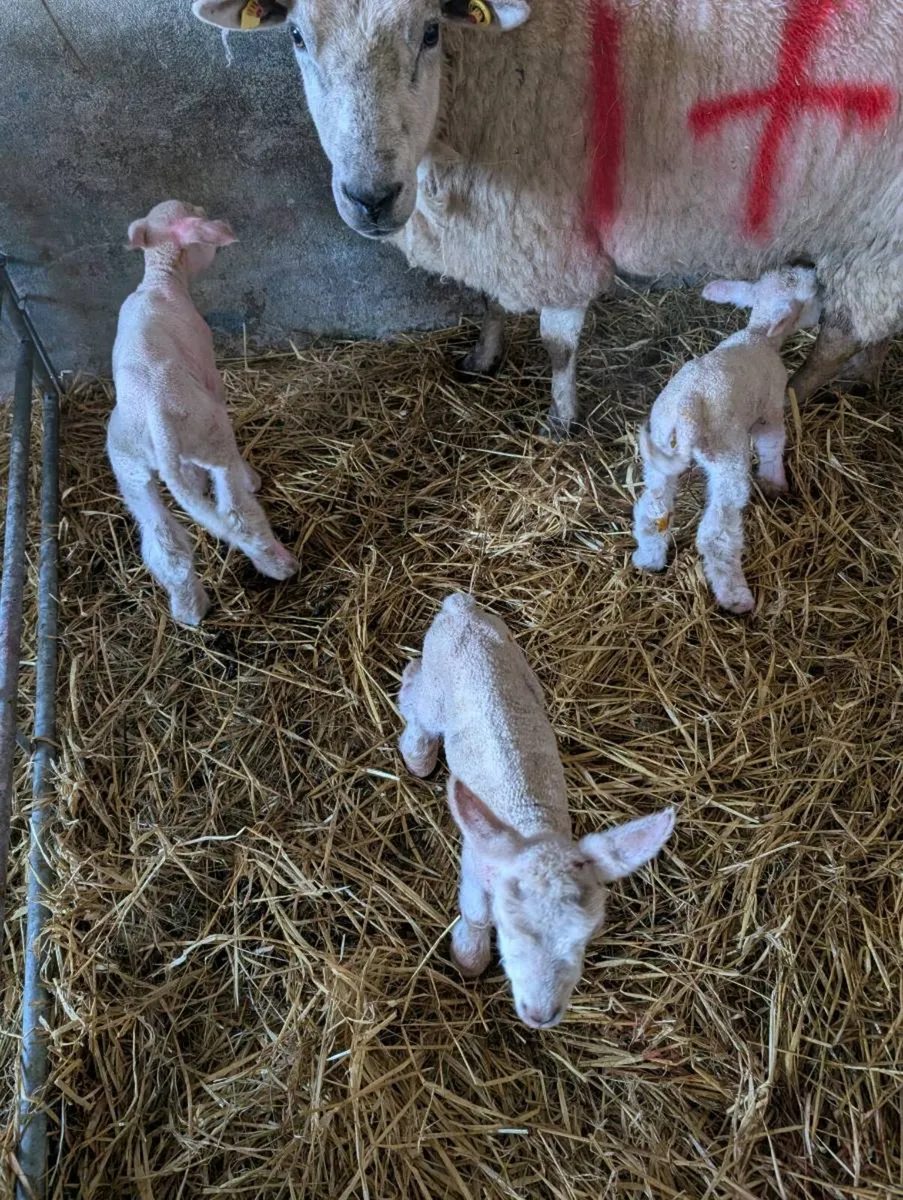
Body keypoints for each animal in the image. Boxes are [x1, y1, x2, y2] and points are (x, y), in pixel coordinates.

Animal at [107, 200, 298, 626]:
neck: (160, 280)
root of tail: (157, 418)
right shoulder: (209, 369)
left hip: (129, 469)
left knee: (165, 541)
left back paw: (188, 608)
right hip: (210, 434)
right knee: (237, 512)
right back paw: (278, 562)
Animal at [193, 0, 902, 436]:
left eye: (430, 30)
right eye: (296, 35)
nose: (371, 197)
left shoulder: (544, 227)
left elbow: (559, 344)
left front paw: (561, 419)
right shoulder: (492, 223)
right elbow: (486, 299)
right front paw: (482, 357)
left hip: (873, 225)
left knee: (839, 333)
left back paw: (797, 395)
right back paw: (864, 376)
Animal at [398, 592, 675, 1029]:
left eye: (584, 937)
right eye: (509, 931)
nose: (541, 1015)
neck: (533, 825)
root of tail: (461, 607)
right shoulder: (476, 864)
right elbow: (475, 915)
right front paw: (468, 957)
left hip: (519, 662)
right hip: (436, 691)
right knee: (414, 692)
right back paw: (417, 753)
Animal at [632, 266, 820, 613]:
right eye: (811, 296)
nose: (814, 272)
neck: (758, 334)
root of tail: (687, 406)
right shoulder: (771, 407)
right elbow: (772, 443)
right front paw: (775, 483)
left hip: (659, 444)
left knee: (653, 510)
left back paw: (649, 559)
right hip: (726, 454)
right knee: (715, 535)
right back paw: (735, 597)